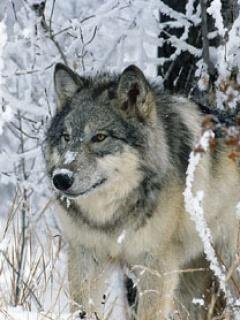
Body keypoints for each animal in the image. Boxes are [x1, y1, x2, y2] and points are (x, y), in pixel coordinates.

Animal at [44, 63, 240, 318]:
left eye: (100, 137)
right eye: (66, 137)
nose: (61, 179)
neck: (110, 219)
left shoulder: (155, 264)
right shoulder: (85, 254)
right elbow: (82, 308)